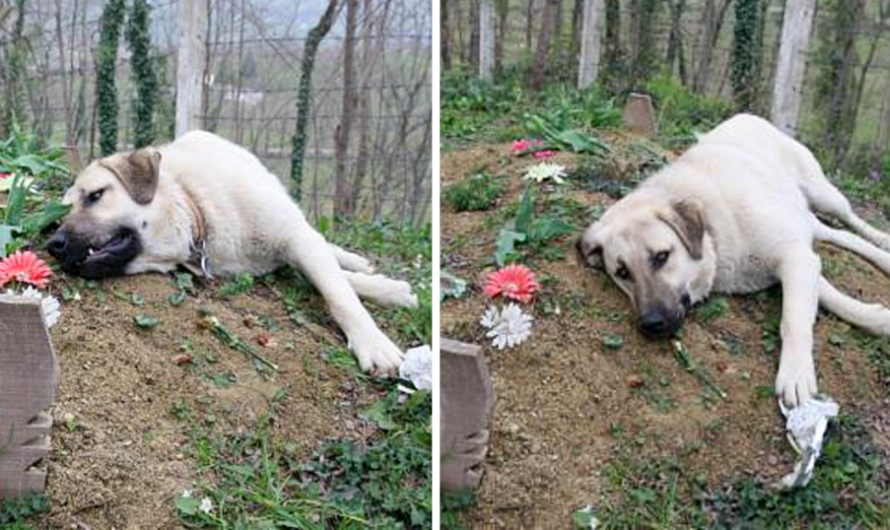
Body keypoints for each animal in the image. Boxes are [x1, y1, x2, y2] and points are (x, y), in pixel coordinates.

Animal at [49, 130, 420, 374]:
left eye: (96, 195)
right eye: (61, 214)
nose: (54, 245)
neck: (196, 209)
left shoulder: (294, 238)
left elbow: (339, 292)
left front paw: (374, 340)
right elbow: (333, 281)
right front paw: (390, 290)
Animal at [576, 114, 890, 404]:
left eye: (661, 257)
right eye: (622, 273)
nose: (651, 324)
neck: (713, 229)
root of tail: (747, 115)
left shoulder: (793, 256)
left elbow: (794, 318)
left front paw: (795, 373)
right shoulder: (797, 256)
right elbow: (828, 296)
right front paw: (875, 317)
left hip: (824, 195)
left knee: (851, 221)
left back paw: (882, 242)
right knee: (838, 235)